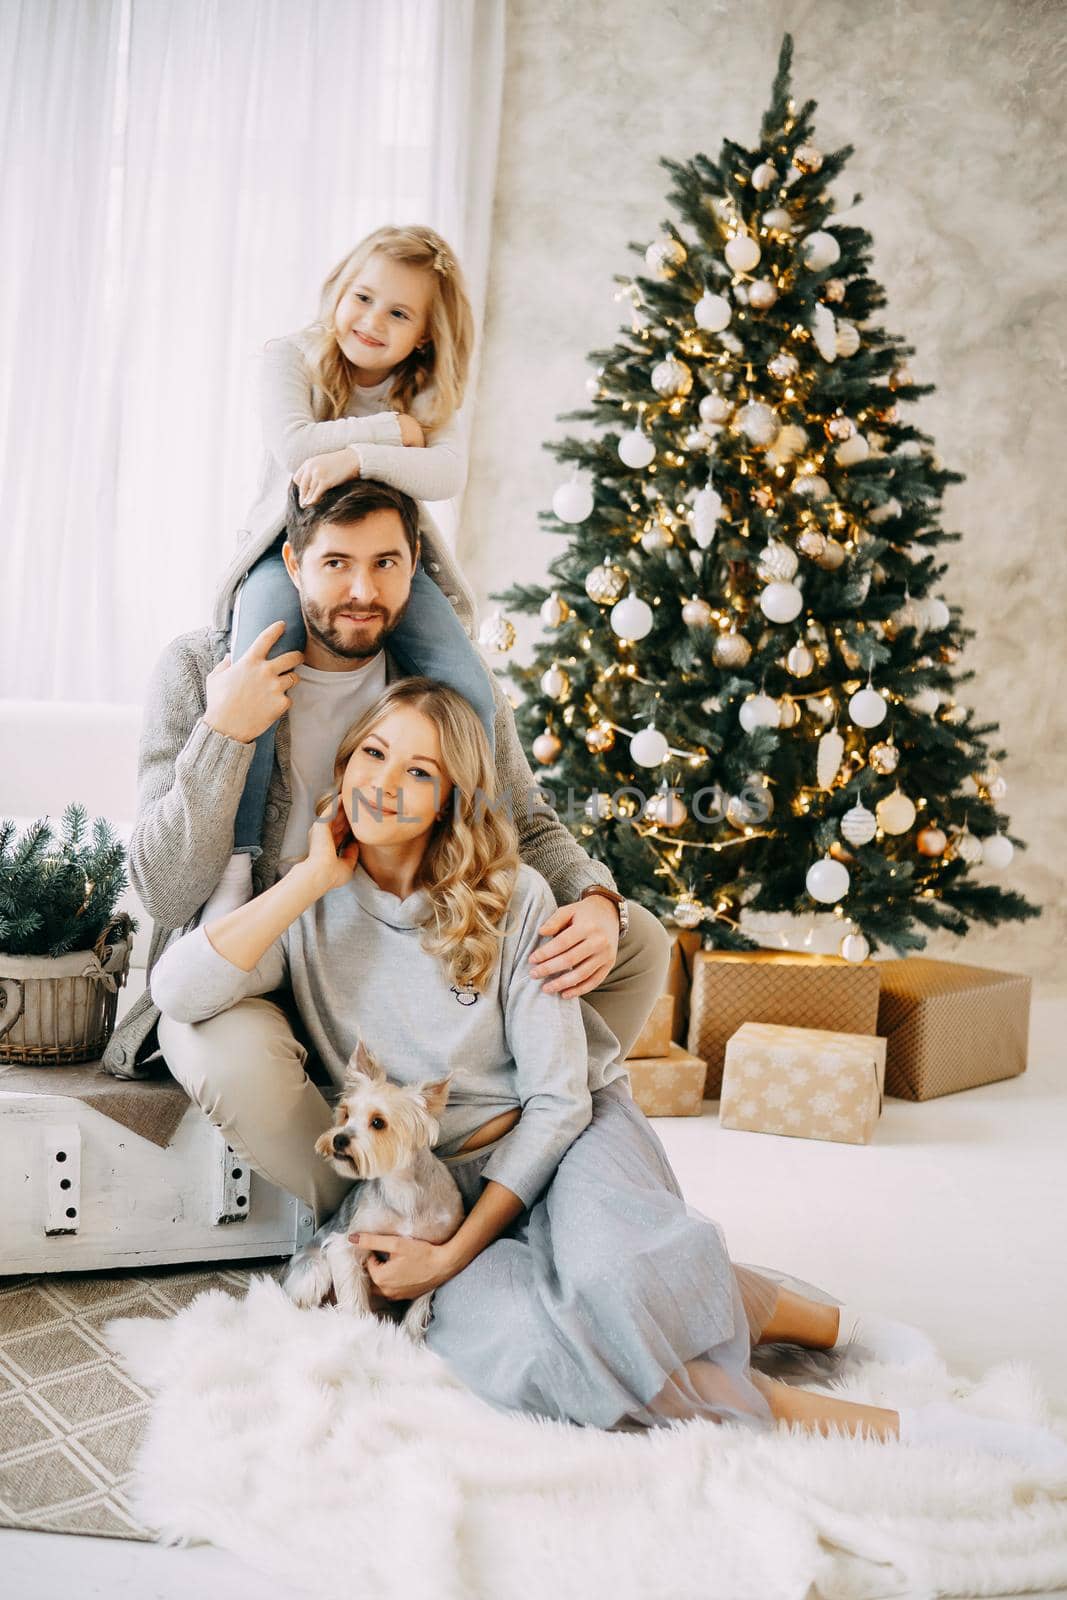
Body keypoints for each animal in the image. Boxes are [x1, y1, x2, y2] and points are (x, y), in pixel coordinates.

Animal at [281, 1030, 463, 1344]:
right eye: (345, 1113)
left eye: (378, 1122)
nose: (339, 1139)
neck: (402, 1190)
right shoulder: (347, 1244)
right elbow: (354, 1299)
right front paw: (363, 1334)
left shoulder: (436, 1255)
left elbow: (420, 1301)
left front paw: (409, 1339)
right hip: (313, 1268)